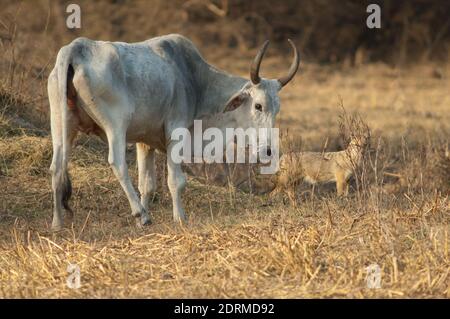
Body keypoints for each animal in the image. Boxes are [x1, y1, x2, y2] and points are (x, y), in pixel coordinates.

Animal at [49, 33, 298, 231]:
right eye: (258, 105)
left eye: (277, 108)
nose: (267, 151)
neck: (195, 81)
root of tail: (77, 48)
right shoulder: (175, 133)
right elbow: (176, 181)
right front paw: (178, 218)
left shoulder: (144, 142)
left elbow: (147, 184)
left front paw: (145, 217)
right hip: (116, 126)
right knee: (117, 163)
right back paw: (138, 212)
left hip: (61, 125)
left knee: (57, 167)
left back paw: (57, 223)